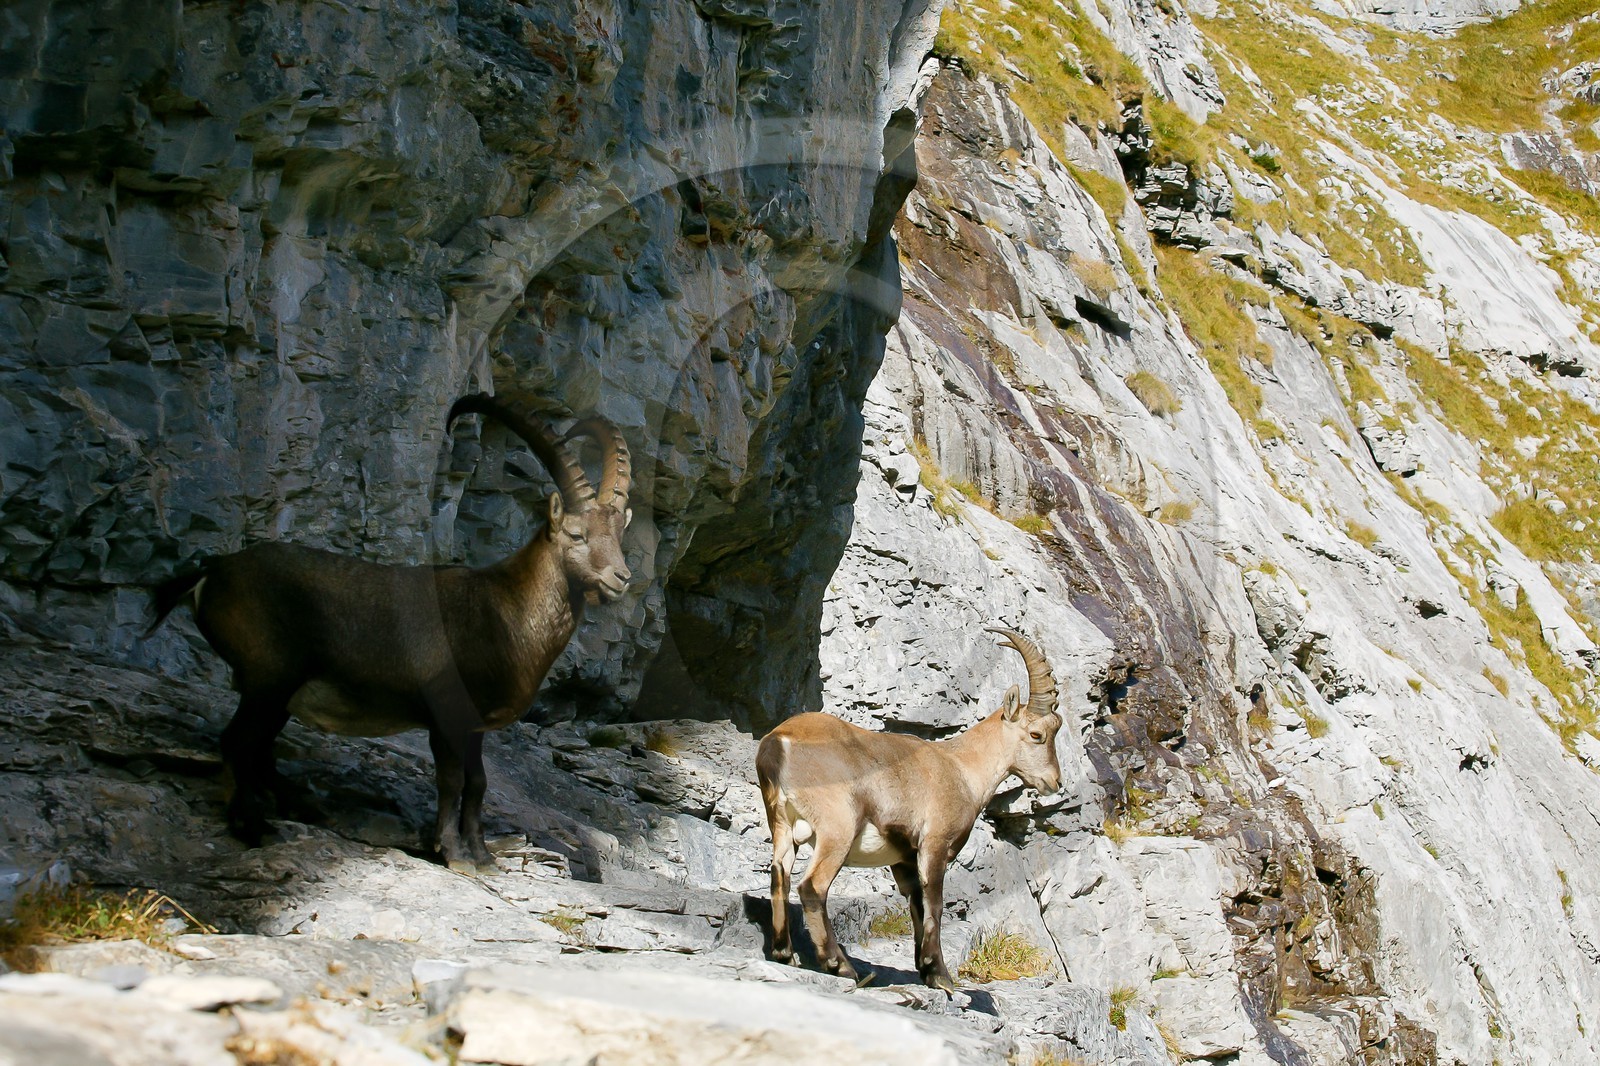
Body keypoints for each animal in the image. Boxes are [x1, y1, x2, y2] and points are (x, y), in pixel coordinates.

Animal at [147, 393, 633, 872]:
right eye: (576, 533)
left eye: (618, 534)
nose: (622, 578)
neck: (506, 611)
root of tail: (211, 572)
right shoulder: (446, 713)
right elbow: (451, 781)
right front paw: (454, 854)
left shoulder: (474, 725)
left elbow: (477, 783)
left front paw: (483, 856)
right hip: (269, 675)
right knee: (238, 741)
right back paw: (251, 827)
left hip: (277, 691)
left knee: (259, 747)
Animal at [756, 627, 1062, 991]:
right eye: (1037, 734)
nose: (1055, 781)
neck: (961, 767)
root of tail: (779, 742)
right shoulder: (935, 843)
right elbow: (935, 904)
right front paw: (941, 975)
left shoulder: (903, 857)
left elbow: (916, 904)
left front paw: (926, 970)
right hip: (837, 828)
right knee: (812, 886)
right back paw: (839, 964)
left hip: (781, 824)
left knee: (779, 874)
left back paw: (784, 953)